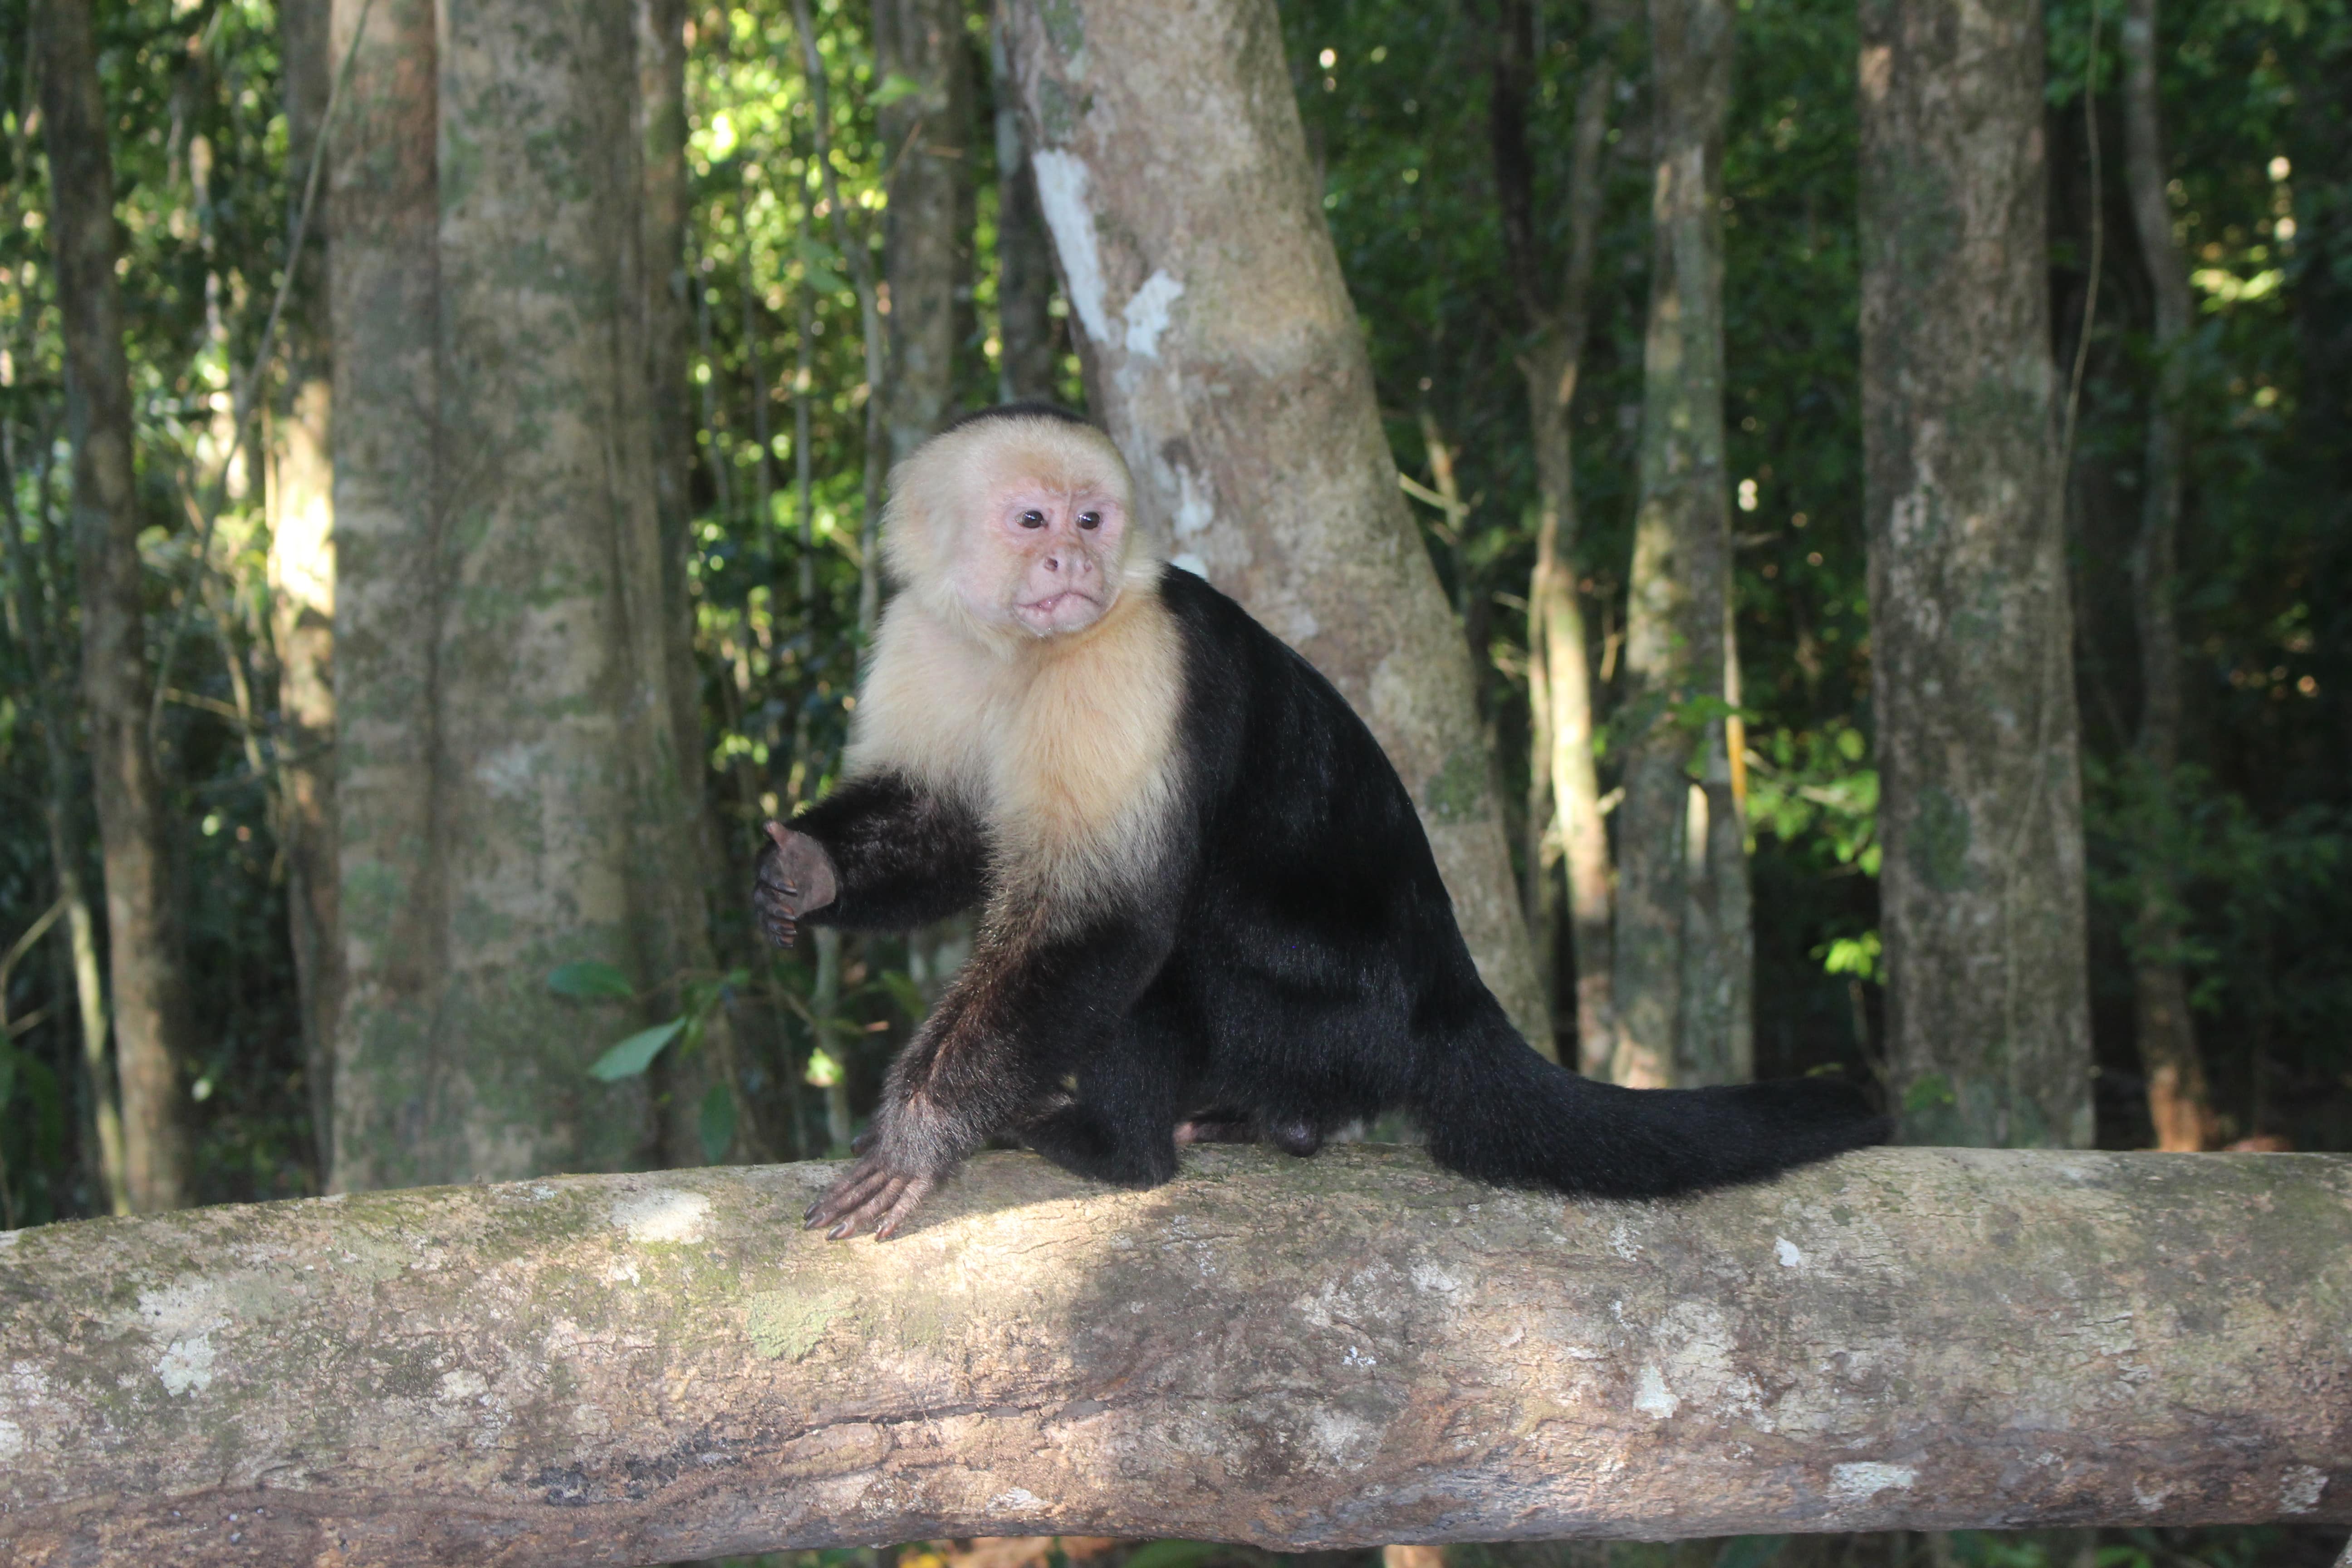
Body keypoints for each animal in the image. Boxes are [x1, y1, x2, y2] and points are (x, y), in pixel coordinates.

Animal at [757, 402, 1891, 1241]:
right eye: (1033, 522)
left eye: (1093, 522)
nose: (1071, 569)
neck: (1026, 650)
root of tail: (1452, 996)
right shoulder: (924, 632)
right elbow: (945, 825)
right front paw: (807, 871)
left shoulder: (1127, 662)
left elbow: (1099, 918)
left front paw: (922, 1131)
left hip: (1331, 1021)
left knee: (1179, 924)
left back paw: (1123, 1152)